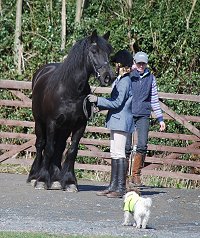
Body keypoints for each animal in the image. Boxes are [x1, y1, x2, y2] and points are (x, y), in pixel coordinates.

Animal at [27, 29, 114, 192]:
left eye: (109, 52)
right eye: (94, 51)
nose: (108, 77)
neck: (70, 90)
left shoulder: (79, 125)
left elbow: (72, 151)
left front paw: (69, 182)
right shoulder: (52, 123)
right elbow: (48, 149)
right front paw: (42, 180)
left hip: (64, 128)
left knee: (59, 148)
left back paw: (55, 179)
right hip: (39, 122)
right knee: (41, 145)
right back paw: (34, 176)